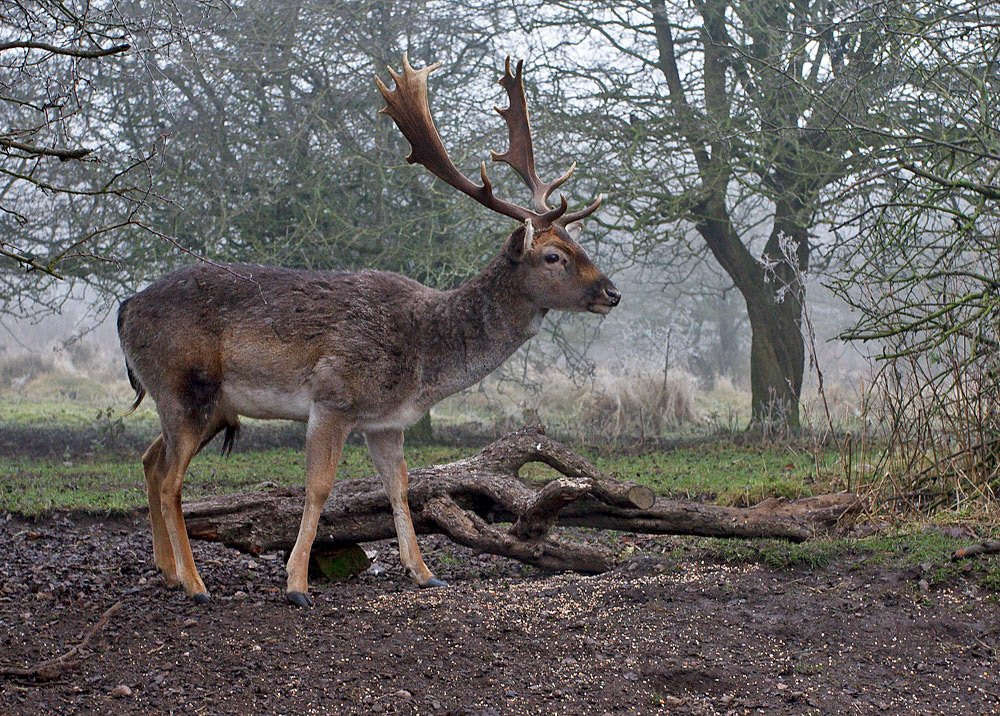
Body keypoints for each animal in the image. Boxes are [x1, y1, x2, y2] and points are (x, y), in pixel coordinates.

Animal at [117, 55, 620, 607]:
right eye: (553, 256)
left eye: (578, 243)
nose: (612, 292)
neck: (424, 360)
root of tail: (124, 309)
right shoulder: (333, 397)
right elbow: (319, 487)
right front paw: (296, 585)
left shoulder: (388, 421)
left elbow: (399, 486)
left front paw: (423, 572)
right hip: (184, 385)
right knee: (170, 480)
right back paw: (196, 584)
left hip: (205, 404)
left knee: (149, 460)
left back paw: (168, 571)